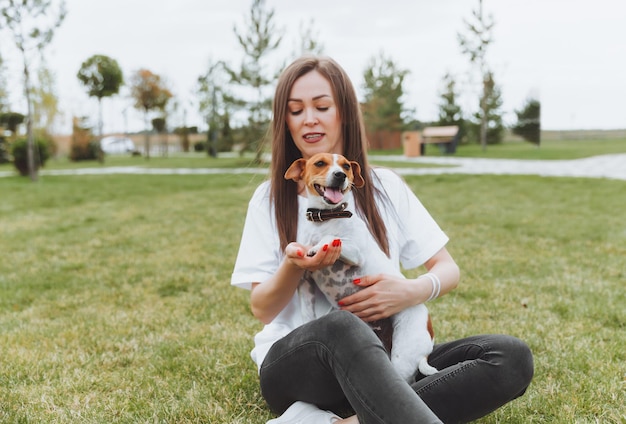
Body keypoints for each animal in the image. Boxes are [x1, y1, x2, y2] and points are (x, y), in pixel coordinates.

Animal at [286, 152, 436, 380]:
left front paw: (321, 245)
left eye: (346, 166)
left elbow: (333, 238)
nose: (340, 175)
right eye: (320, 163)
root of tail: (429, 337)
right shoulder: (306, 283)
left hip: (402, 356)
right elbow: (307, 313)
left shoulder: (355, 252)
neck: (325, 218)